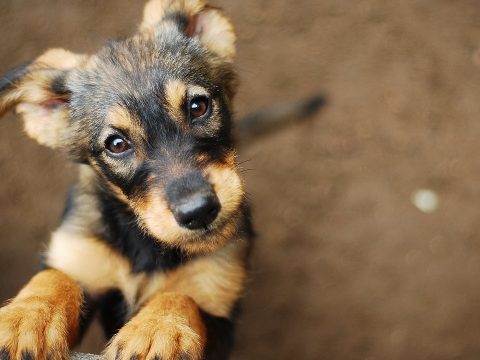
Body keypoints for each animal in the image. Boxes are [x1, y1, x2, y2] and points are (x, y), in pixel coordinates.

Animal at [0, 1, 253, 358]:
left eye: (198, 106)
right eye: (117, 144)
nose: (199, 212)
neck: (145, 244)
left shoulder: (218, 309)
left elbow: (180, 296)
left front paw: (157, 330)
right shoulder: (79, 255)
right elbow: (55, 278)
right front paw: (26, 317)